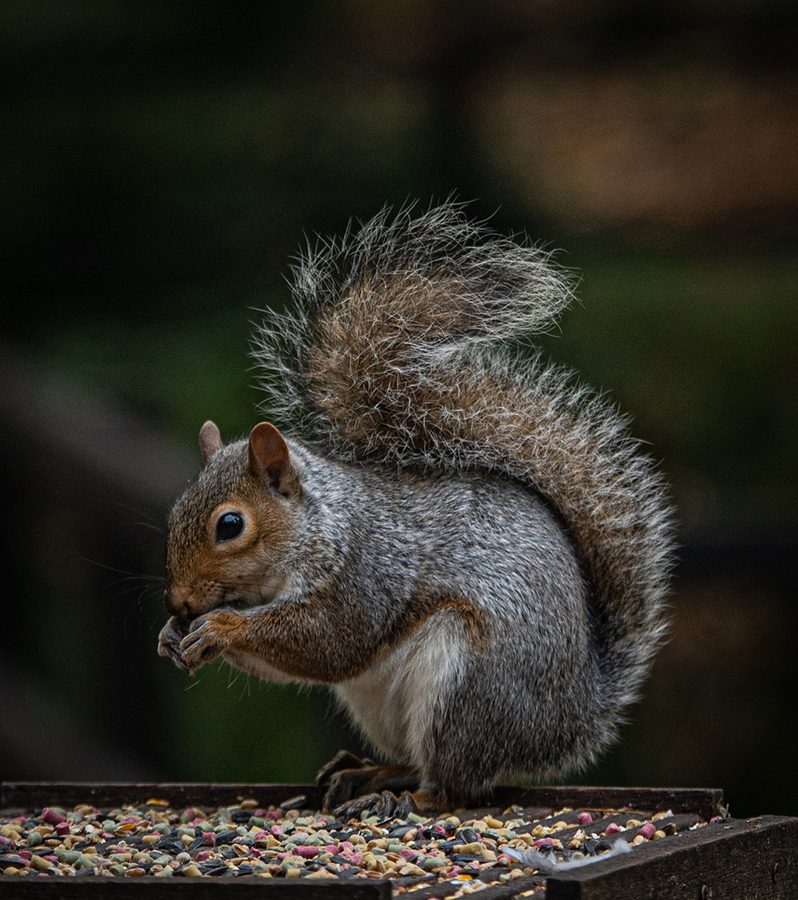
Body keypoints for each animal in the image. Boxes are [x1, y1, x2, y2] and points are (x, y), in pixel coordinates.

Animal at [159, 204, 680, 816]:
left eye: (230, 525)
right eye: (173, 515)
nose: (179, 602)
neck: (320, 526)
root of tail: (569, 721)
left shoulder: (367, 573)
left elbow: (328, 641)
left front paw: (220, 627)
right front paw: (172, 635)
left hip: (466, 689)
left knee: (456, 786)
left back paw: (406, 800)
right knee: (418, 762)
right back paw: (370, 773)